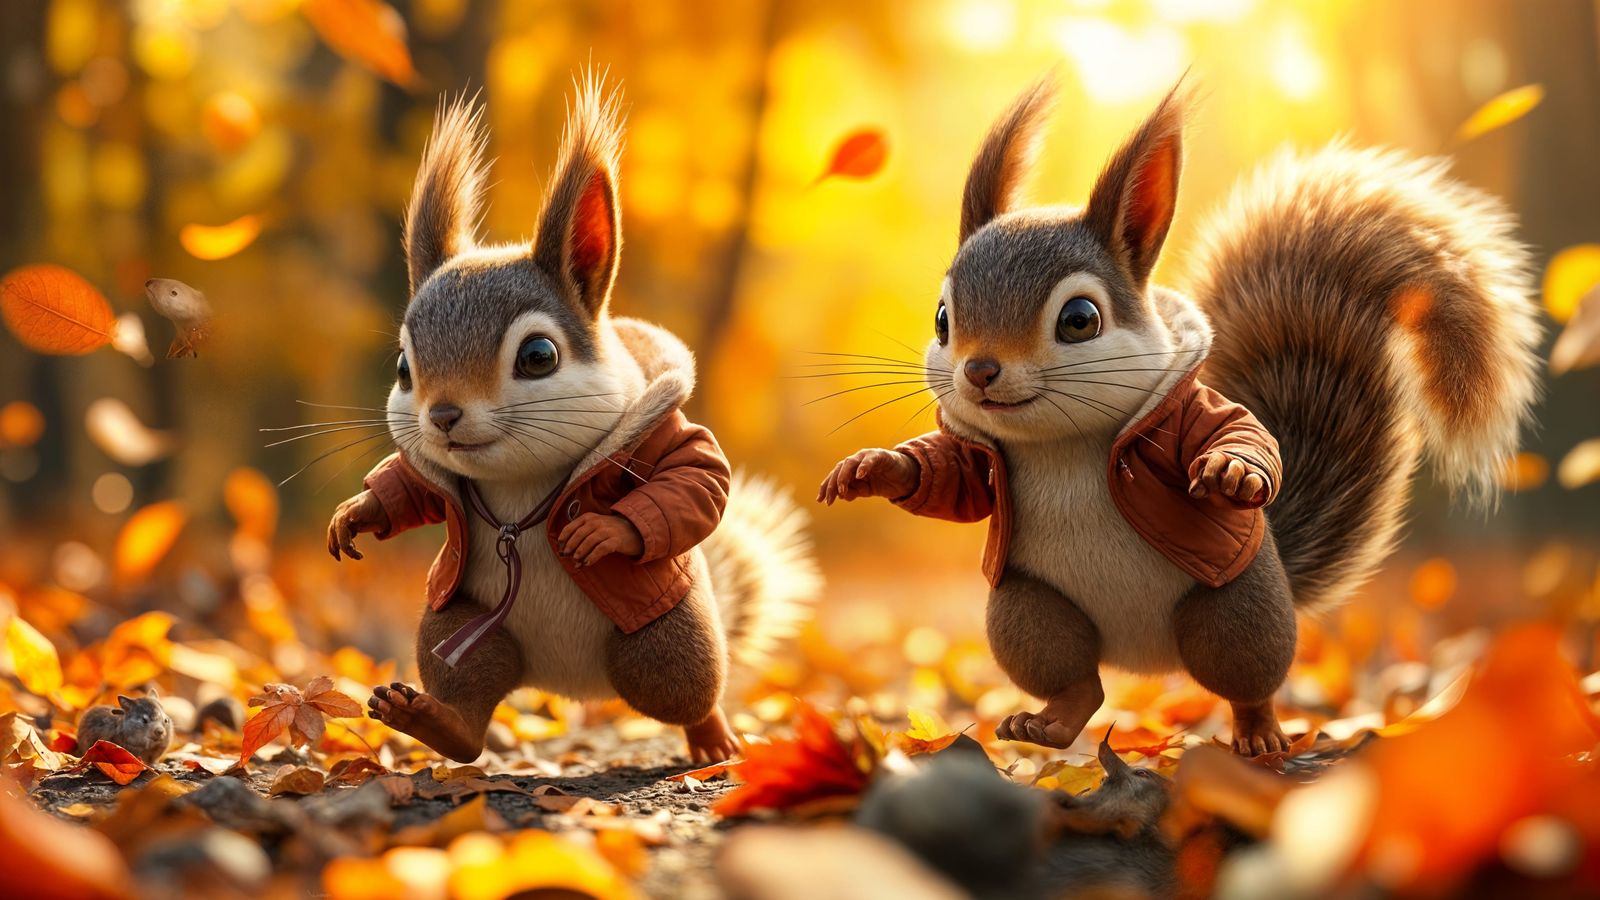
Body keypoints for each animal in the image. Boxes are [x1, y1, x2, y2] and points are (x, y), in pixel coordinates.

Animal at [325, 74, 820, 764]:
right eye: (403, 367)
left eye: (539, 355)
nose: (443, 415)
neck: (519, 484)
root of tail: (572, 686)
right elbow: (410, 487)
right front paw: (358, 513)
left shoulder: (661, 438)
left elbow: (696, 474)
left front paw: (605, 531)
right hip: (458, 624)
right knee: (471, 696)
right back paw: (437, 723)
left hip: (667, 637)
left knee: (686, 691)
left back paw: (715, 739)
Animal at [820, 76, 1540, 756]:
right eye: (943, 319)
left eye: (1080, 319)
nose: (979, 370)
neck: (1062, 442)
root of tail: (1148, 660)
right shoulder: (984, 464)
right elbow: (956, 480)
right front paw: (873, 470)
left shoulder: (1186, 416)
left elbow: (1234, 430)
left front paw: (1233, 471)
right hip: (1028, 611)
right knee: (1081, 683)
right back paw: (1049, 723)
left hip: (1237, 612)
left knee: (1246, 681)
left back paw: (1259, 734)